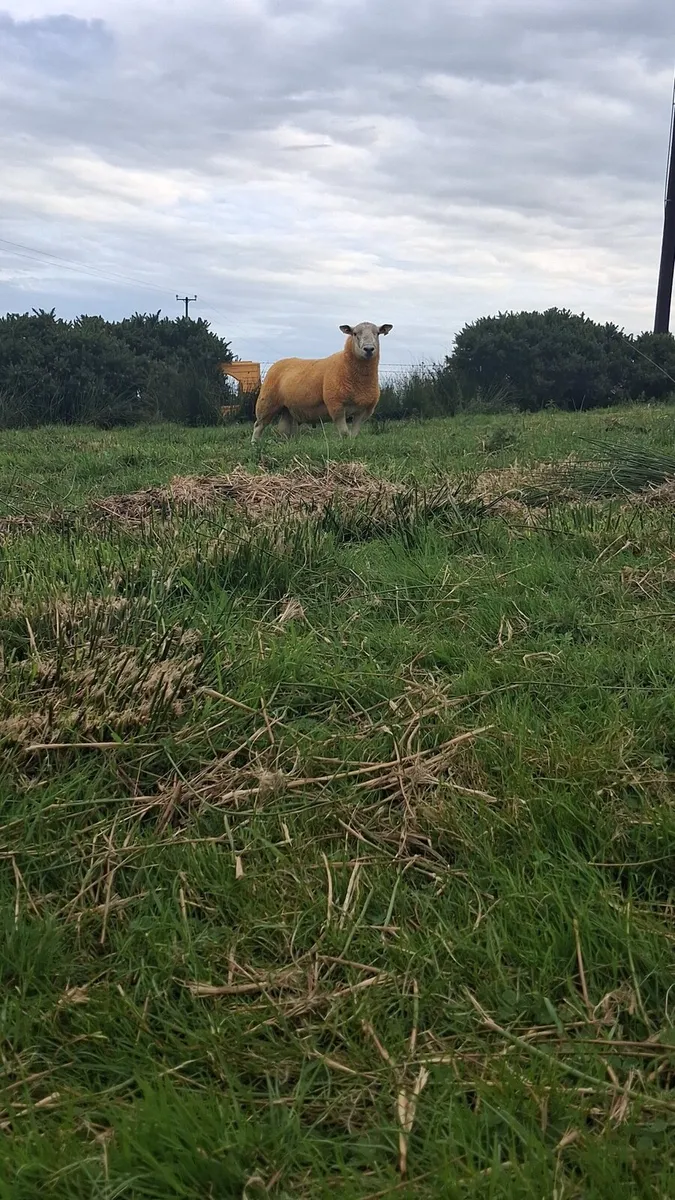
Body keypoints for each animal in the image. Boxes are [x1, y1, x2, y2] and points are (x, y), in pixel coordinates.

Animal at [251, 322, 393, 444]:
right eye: (354, 333)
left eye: (377, 333)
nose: (368, 349)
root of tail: (279, 363)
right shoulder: (336, 406)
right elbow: (344, 433)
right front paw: (345, 445)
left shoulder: (362, 411)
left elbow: (354, 434)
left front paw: (352, 444)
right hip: (266, 402)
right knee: (258, 425)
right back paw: (255, 445)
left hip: (287, 408)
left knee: (282, 430)